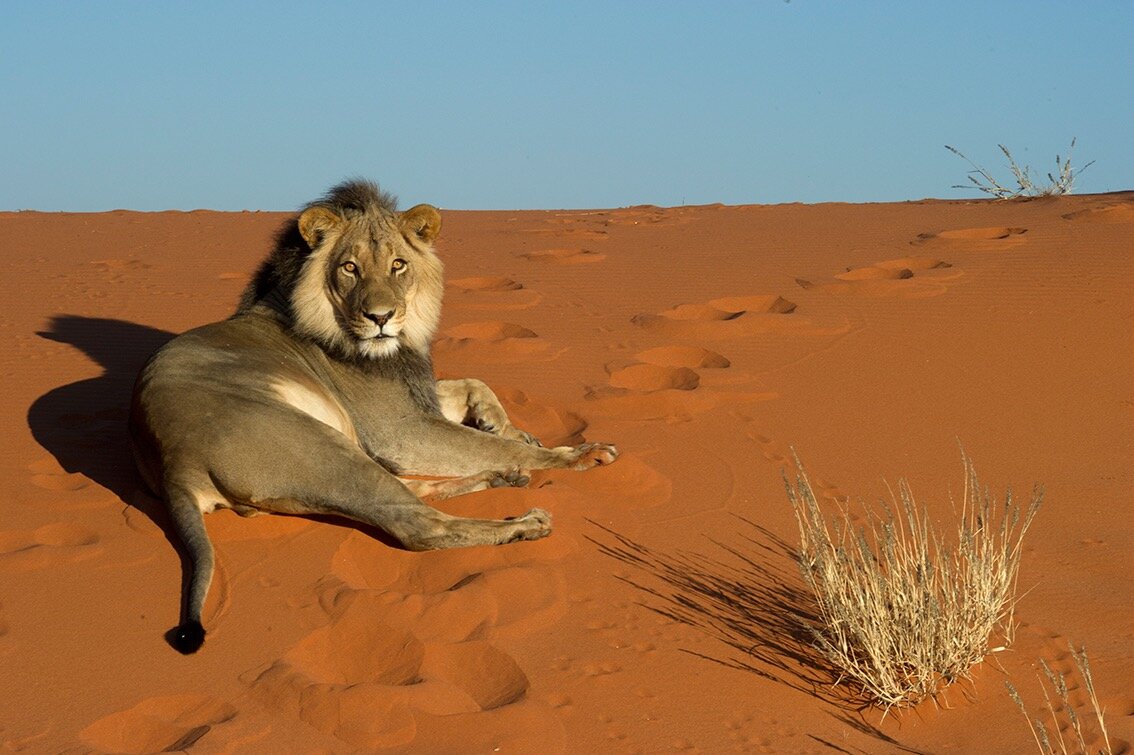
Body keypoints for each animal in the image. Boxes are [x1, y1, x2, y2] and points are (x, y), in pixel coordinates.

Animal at [130, 179, 621, 648]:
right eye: (350, 268)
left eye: (398, 265)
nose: (380, 317)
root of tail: (173, 461)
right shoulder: (397, 429)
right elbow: (493, 444)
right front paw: (576, 453)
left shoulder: (413, 395)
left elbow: (475, 386)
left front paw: (504, 426)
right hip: (319, 444)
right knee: (420, 525)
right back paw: (525, 523)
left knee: (413, 493)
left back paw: (502, 479)